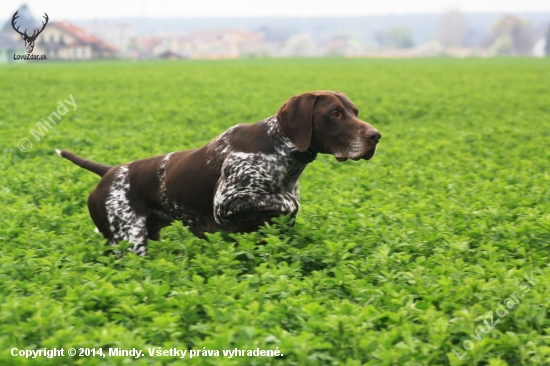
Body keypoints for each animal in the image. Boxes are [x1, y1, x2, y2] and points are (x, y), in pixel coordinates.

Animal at [58, 91, 382, 258]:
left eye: (355, 111)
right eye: (334, 113)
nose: (376, 136)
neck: (281, 150)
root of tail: (109, 171)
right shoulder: (226, 203)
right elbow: (284, 203)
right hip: (131, 242)